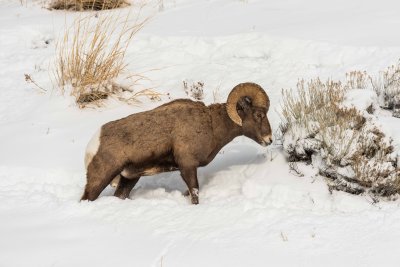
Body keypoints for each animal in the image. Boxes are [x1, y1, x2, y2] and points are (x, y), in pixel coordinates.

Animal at [83, 83, 274, 205]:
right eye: (258, 115)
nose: (269, 139)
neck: (212, 125)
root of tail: (93, 144)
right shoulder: (187, 166)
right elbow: (195, 194)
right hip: (101, 178)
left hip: (129, 178)